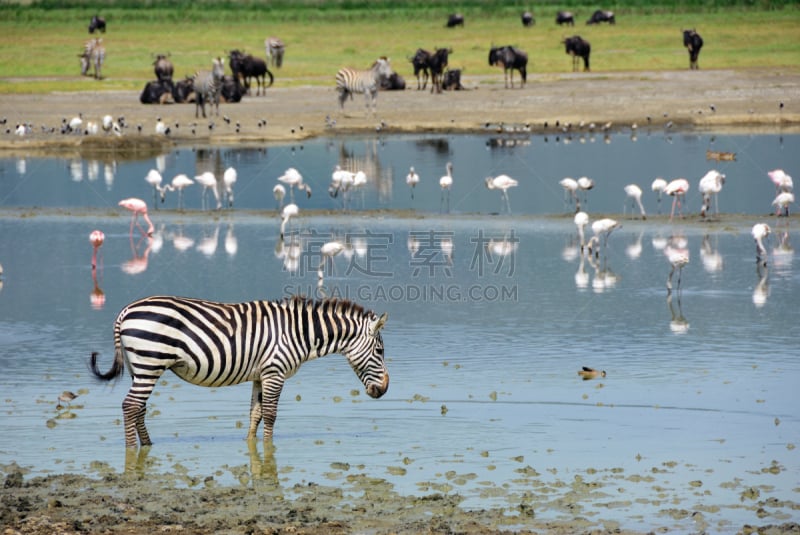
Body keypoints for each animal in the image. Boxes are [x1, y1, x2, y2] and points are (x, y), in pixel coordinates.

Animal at [90, 296, 390, 450]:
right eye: (380, 351)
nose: (385, 388)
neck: (298, 333)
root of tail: (126, 310)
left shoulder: (261, 374)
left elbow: (255, 414)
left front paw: (251, 444)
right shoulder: (275, 372)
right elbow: (270, 414)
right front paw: (269, 449)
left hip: (140, 367)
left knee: (139, 408)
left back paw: (148, 444)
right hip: (150, 363)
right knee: (130, 406)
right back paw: (132, 449)